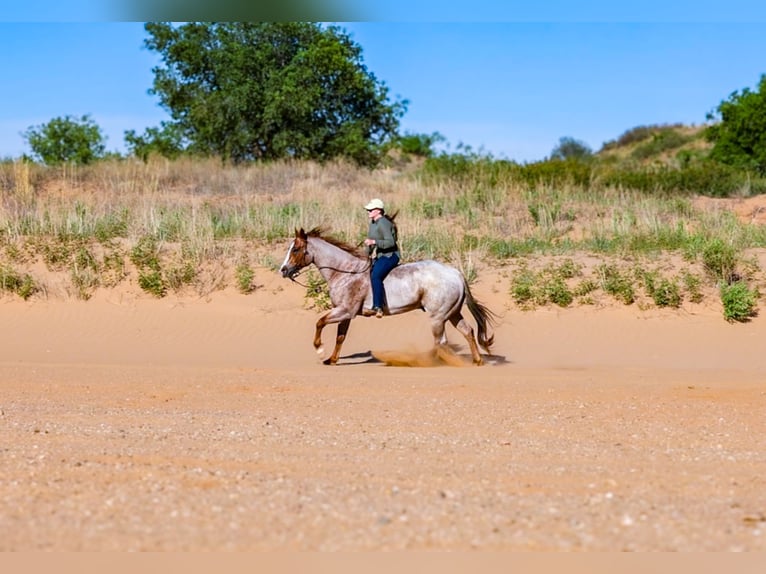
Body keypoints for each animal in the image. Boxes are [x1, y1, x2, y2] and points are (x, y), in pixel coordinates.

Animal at [279, 227, 496, 365]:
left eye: (296, 248)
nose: (283, 270)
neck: (345, 271)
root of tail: (456, 274)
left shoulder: (344, 311)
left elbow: (320, 322)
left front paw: (319, 349)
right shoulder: (345, 314)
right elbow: (340, 337)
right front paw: (331, 359)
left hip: (437, 317)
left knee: (441, 342)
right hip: (452, 313)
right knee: (467, 331)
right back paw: (477, 360)